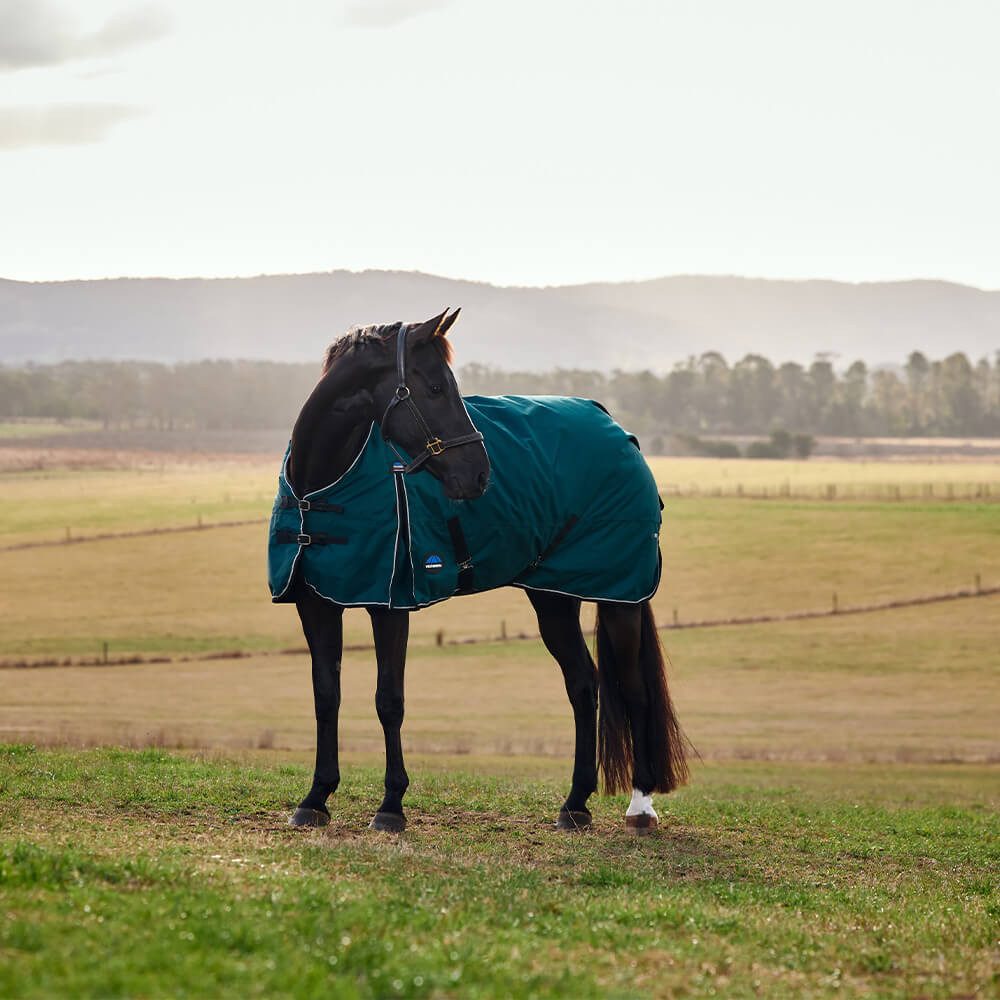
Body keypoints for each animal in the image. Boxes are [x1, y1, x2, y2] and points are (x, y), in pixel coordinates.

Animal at [270, 308, 688, 833]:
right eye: (434, 388)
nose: (479, 474)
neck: (321, 485)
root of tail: (617, 430)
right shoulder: (316, 602)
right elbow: (326, 695)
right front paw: (316, 798)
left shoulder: (390, 605)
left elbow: (389, 701)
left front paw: (391, 806)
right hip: (554, 597)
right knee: (583, 684)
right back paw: (575, 803)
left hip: (620, 598)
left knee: (633, 689)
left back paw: (640, 805)